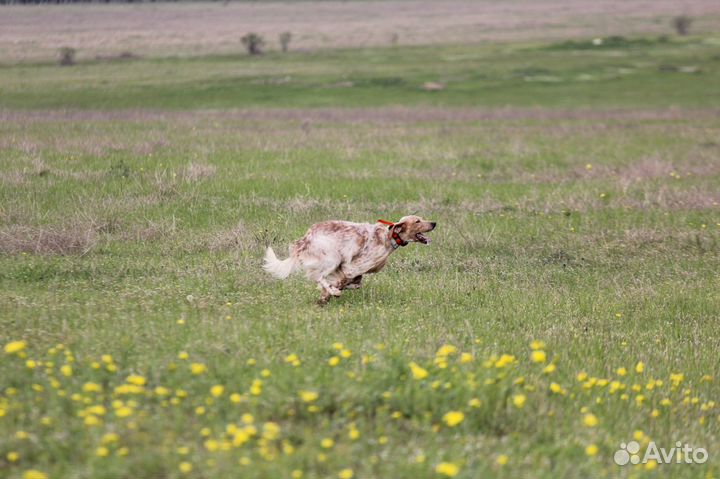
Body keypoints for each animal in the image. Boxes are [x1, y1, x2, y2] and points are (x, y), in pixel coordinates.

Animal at [262, 217, 436, 304]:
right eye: (417, 221)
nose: (434, 223)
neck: (389, 236)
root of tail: (305, 238)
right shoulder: (352, 266)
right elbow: (344, 280)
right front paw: (330, 292)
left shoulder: (351, 269)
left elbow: (356, 283)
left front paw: (328, 294)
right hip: (332, 256)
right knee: (317, 276)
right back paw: (334, 291)